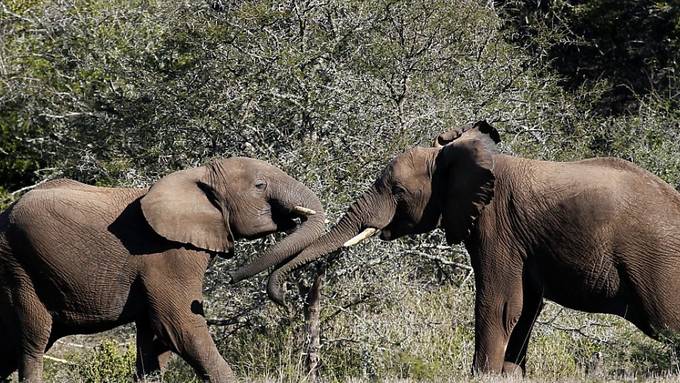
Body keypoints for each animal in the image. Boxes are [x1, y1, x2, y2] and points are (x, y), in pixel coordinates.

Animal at [0, 157, 326, 383]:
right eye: (260, 186)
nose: (233, 277)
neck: (198, 175)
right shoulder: (167, 255)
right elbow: (178, 326)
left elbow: (153, 341)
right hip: (18, 266)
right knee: (34, 339)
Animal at [232, 121, 680, 376]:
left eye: (397, 191)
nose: (281, 297)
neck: (457, 155)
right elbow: (526, 308)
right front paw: (507, 374)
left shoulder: (497, 225)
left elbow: (501, 303)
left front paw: (482, 375)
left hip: (658, 262)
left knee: (668, 323)